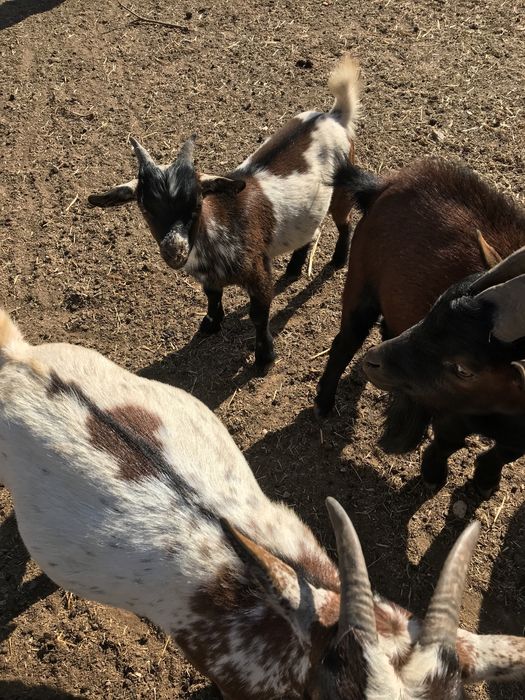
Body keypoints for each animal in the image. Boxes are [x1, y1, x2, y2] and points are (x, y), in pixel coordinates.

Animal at [88, 55, 361, 374]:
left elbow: (258, 314)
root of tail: (333, 116)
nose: (174, 252)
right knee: (311, 230)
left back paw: (338, 260)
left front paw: (264, 358)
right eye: (144, 207)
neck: (218, 229)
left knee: (344, 222)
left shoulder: (257, 272)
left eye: (196, 203)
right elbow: (212, 296)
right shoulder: (209, 278)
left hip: (341, 190)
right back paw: (294, 267)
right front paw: (210, 324)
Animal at [362, 246, 525, 496]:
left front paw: (486, 480)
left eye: (463, 370)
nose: (373, 362)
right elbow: (448, 442)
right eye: (433, 308)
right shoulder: (452, 412)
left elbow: (504, 454)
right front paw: (433, 475)